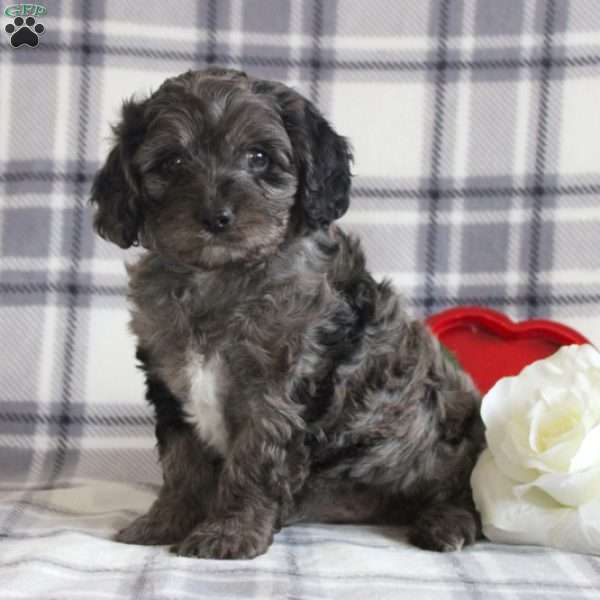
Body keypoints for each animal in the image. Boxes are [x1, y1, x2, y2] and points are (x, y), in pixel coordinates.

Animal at [91, 68, 486, 560]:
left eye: (259, 157)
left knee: (464, 489)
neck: (221, 276)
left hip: (451, 426)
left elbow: (254, 463)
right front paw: (163, 522)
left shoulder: (282, 389)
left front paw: (230, 532)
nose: (215, 217)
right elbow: (181, 464)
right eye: (173, 162)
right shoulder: (168, 383)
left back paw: (446, 524)